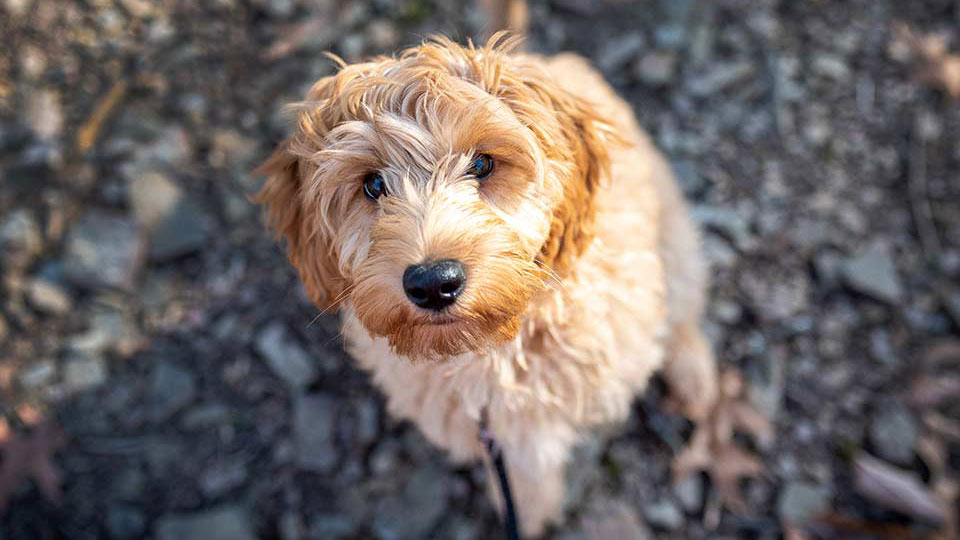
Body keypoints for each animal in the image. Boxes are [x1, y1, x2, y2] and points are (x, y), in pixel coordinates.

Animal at [258, 34, 716, 536]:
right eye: (373, 185)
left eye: (481, 164)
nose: (434, 283)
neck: (491, 352)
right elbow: (523, 480)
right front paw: (528, 516)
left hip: (670, 235)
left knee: (684, 305)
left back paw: (695, 379)